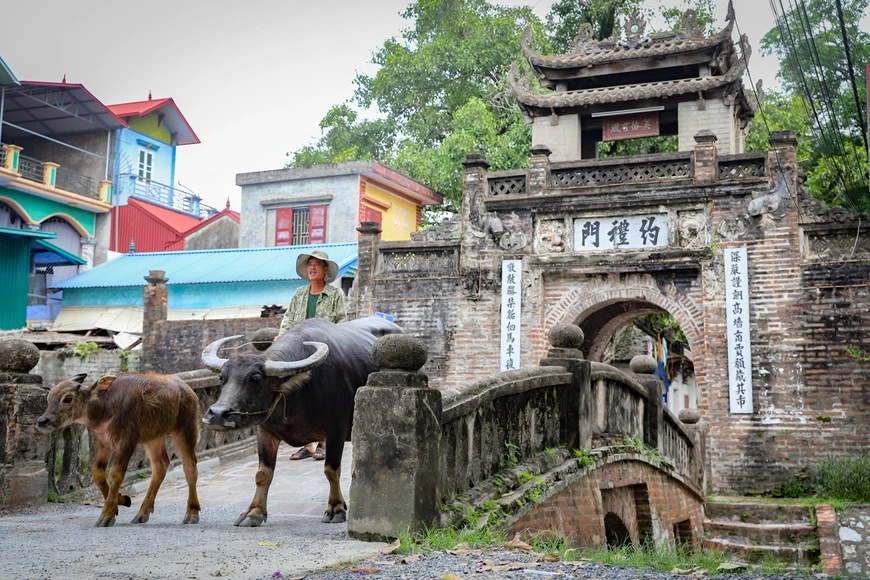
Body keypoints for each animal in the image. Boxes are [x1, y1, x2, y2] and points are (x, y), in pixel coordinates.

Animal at [37, 374, 201, 528]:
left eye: (67, 398)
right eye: (49, 398)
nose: (42, 421)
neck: (106, 407)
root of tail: (187, 389)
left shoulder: (127, 441)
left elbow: (115, 473)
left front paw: (107, 515)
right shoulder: (103, 442)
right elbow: (97, 472)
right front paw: (121, 500)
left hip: (185, 429)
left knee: (190, 467)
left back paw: (191, 513)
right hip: (154, 437)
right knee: (160, 466)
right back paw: (142, 513)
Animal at [201, 314, 402, 528]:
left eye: (255, 378)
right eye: (222, 377)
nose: (218, 413)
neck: (297, 395)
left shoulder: (336, 430)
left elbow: (331, 470)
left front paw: (336, 509)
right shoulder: (265, 431)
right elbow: (263, 474)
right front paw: (254, 512)